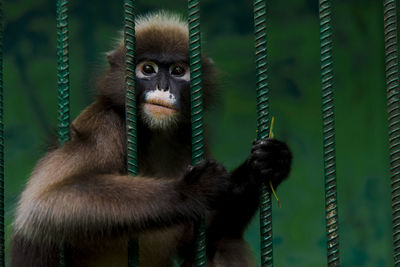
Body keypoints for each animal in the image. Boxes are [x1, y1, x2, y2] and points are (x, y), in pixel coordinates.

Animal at [9, 12, 290, 267]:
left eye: (178, 71)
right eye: (147, 69)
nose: (163, 88)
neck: (154, 131)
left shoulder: (189, 132)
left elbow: (197, 238)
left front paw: (269, 163)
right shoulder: (105, 125)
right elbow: (45, 203)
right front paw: (191, 189)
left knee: (224, 243)